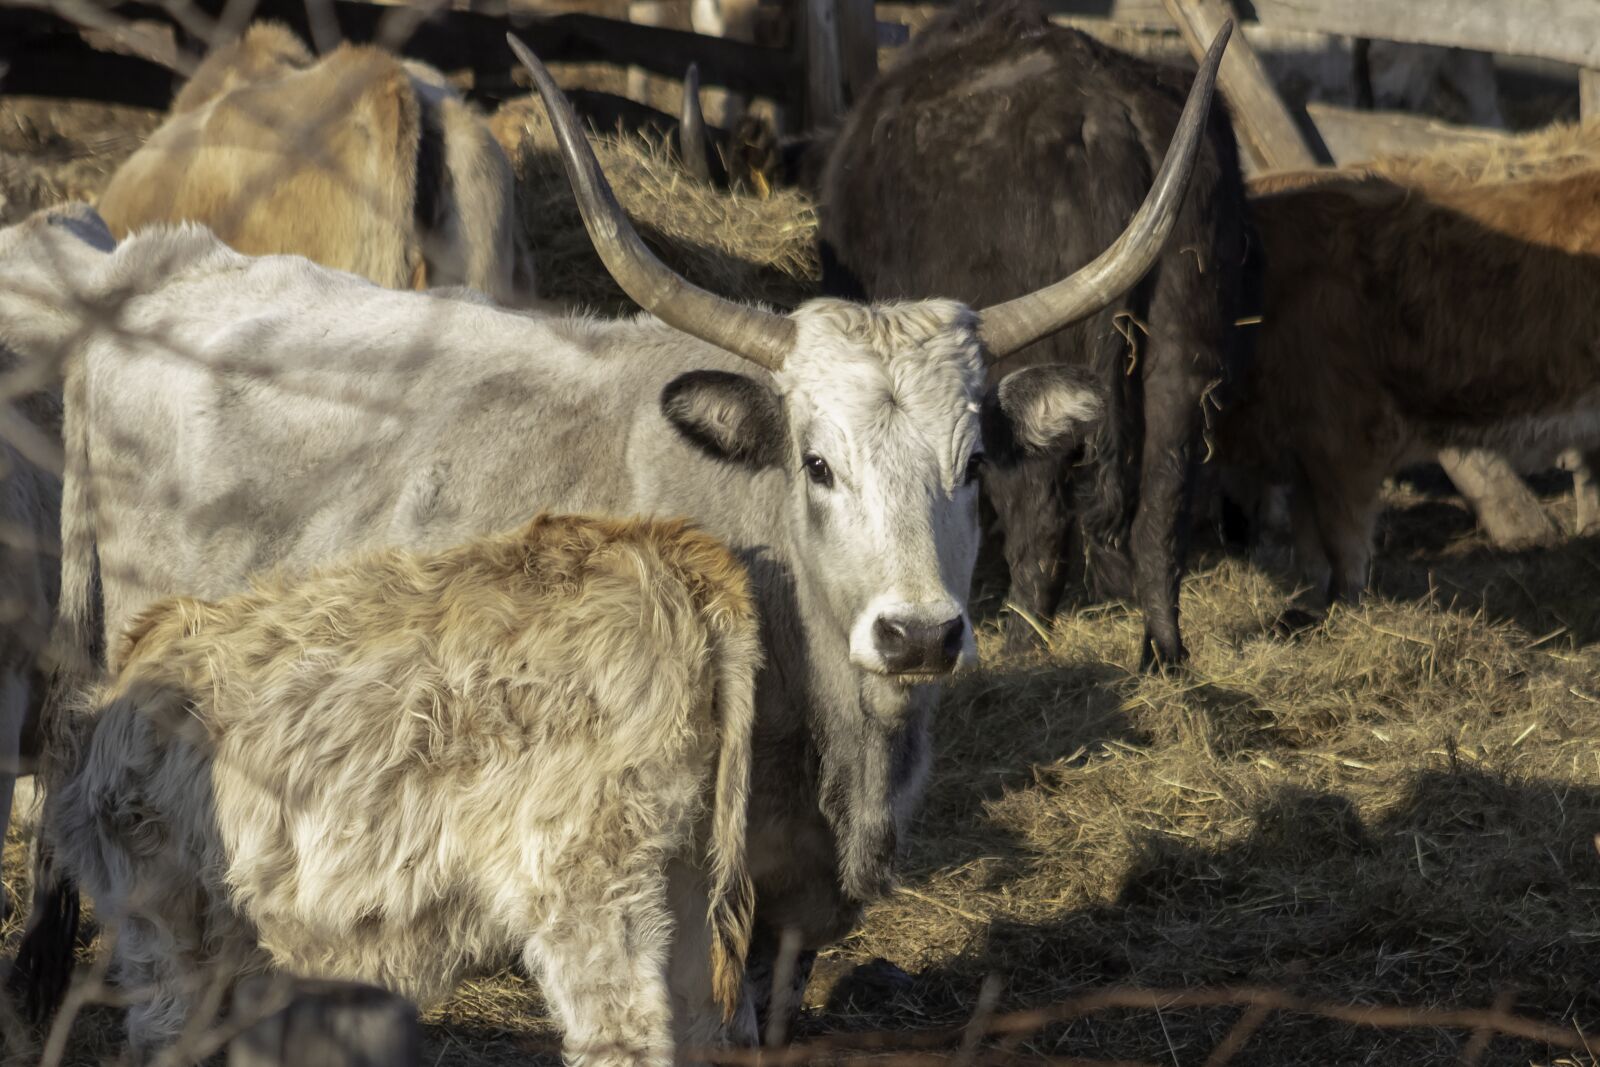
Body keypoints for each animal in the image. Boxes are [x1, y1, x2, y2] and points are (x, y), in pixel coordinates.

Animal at [47, 513, 759, 1063]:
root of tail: (662, 545)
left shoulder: (155, 903)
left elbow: (160, 1030)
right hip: (687, 869)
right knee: (700, 1015)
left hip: (583, 874)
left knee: (623, 1029)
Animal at [815, 0, 1254, 668]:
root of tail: (1102, 120)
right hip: (1183, 364)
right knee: (1161, 511)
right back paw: (1163, 652)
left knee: (1043, 522)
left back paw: (1022, 649)